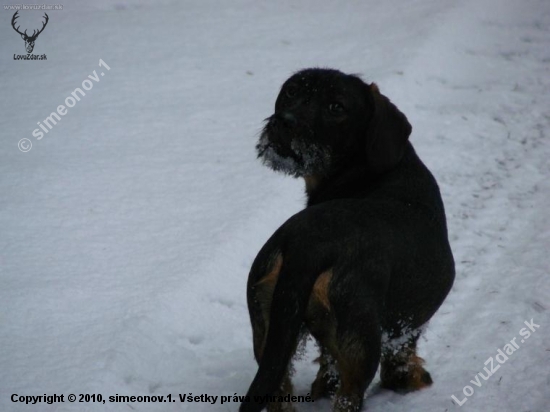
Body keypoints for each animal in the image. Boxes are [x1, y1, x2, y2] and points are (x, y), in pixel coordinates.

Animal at [242, 69, 458, 412]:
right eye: (291, 92)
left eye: (336, 107)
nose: (283, 120)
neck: (362, 171)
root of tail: (306, 245)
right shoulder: (404, 324)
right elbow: (402, 351)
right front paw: (409, 379)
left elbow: (327, 366)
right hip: (360, 342)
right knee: (349, 395)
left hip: (268, 333)